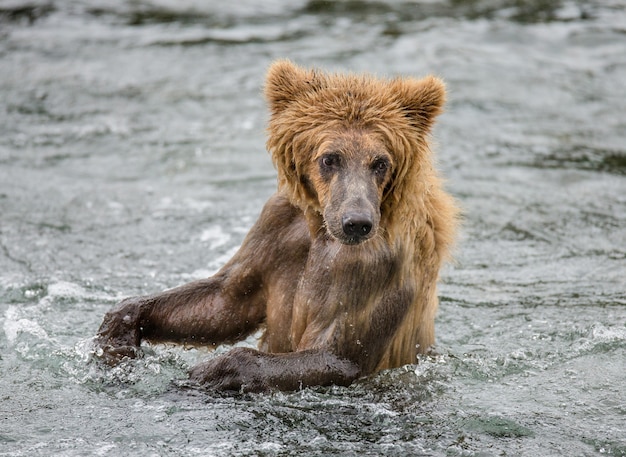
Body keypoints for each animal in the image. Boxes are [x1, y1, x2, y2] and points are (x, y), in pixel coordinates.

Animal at [97, 58, 458, 390]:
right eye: (330, 158)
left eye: (380, 162)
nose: (357, 223)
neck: (320, 227)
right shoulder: (278, 227)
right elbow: (225, 302)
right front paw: (117, 334)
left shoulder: (375, 266)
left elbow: (338, 354)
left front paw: (208, 372)